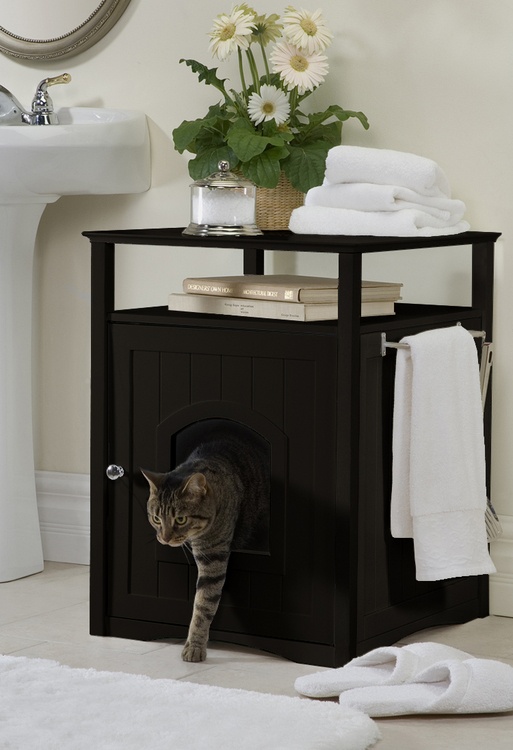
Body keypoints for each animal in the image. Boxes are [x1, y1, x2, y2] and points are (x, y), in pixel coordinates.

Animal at [140, 428, 268, 664]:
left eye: (181, 520)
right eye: (156, 518)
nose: (165, 538)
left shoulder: (213, 557)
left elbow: (202, 605)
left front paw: (194, 647)